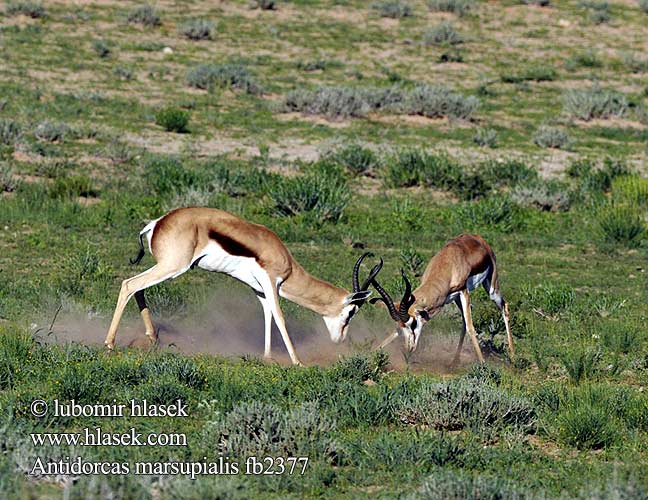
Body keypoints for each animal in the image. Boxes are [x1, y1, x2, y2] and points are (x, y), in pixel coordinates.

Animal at [104, 205, 382, 366]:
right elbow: (280, 317)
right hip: (173, 267)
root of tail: (157, 223)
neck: (286, 261)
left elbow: (267, 315)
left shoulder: (259, 289)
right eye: (351, 312)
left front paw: (268, 356)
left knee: (138, 288)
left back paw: (152, 338)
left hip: (165, 268)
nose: (340, 339)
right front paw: (297, 361)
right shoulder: (271, 281)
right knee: (129, 284)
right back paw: (109, 344)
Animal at [372, 234, 512, 364]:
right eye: (401, 326)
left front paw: (483, 364)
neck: (448, 264)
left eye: (413, 324)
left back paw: (513, 358)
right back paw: (454, 362)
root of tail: (479, 239)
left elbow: (471, 327)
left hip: (491, 288)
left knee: (504, 306)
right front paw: (374, 351)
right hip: (456, 299)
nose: (409, 349)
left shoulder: (464, 291)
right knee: (463, 320)